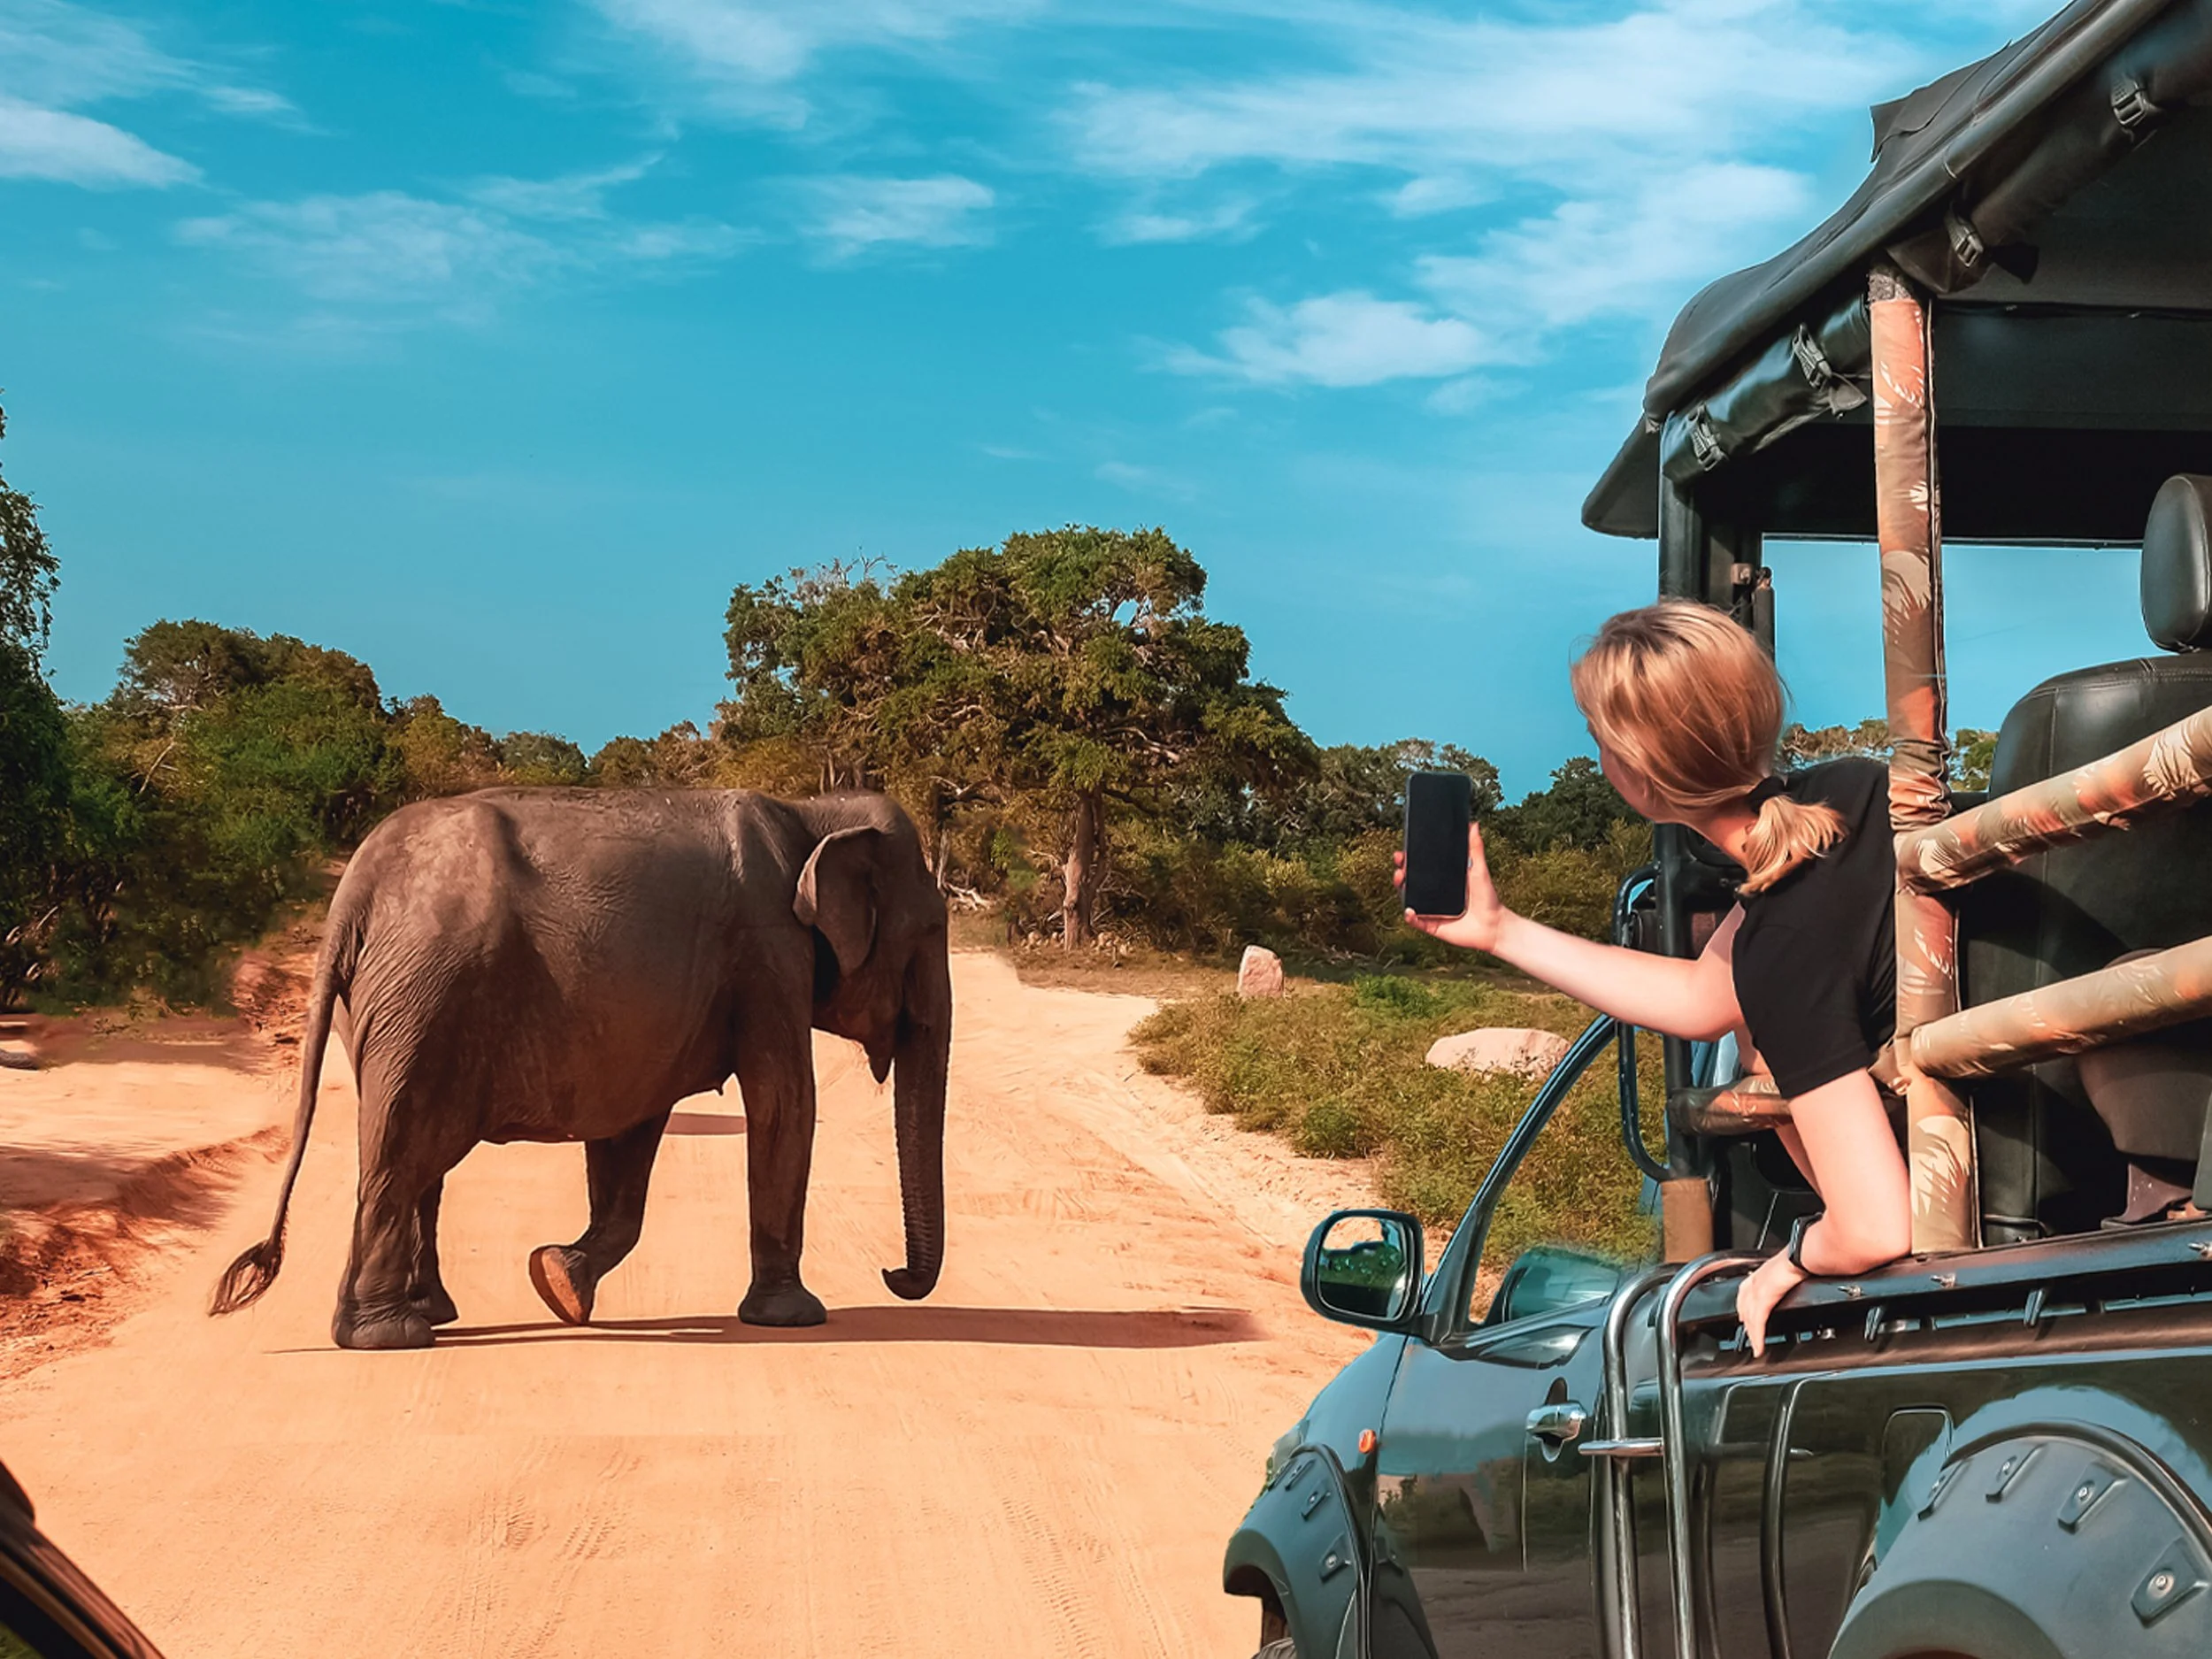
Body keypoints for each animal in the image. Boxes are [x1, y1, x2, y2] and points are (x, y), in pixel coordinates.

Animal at [208, 787, 952, 1350]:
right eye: (930, 932)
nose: (891, 1271)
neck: (815, 814)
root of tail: (353, 891)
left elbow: (633, 1126)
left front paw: (557, 1280)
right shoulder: (769, 952)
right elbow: (784, 1101)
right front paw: (793, 1317)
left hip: (391, 1005)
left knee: (417, 1160)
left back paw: (430, 1313)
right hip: (425, 997)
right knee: (403, 1150)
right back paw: (390, 1336)